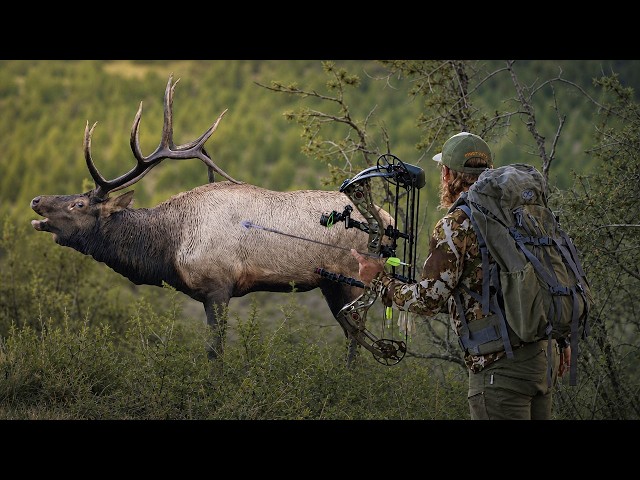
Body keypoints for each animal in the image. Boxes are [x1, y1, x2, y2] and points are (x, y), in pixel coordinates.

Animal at [30, 75, 393, 363]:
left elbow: (214, 352)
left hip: (352, 279)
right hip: (330, 284)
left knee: (359, 336)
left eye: (78, 204)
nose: (36, 200)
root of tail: (389, 223)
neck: (169, 248)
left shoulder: (218, 286)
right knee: (352, 334)